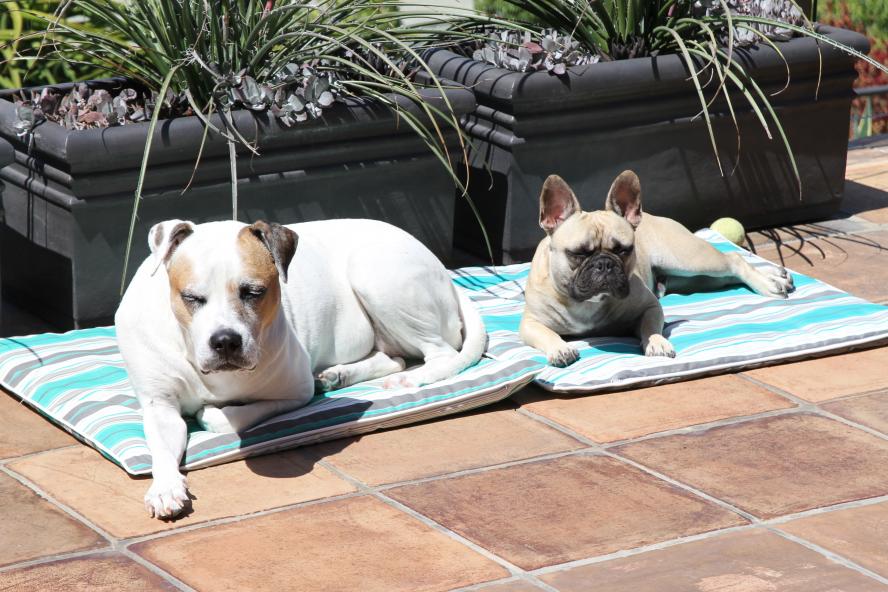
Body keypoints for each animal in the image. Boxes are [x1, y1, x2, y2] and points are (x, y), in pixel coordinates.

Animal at [117, 217, 486, 520]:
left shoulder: (294, 391)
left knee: (439, 354)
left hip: (375, 273)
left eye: (254, 292)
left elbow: (226, 417)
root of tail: (446, 274)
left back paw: (409, 378)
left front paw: (211, 413)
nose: (225, 341)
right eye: (192, 297)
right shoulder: (160, 407)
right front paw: (165, 488)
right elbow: (162, 449)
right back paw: (338, 375)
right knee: (392, 356)